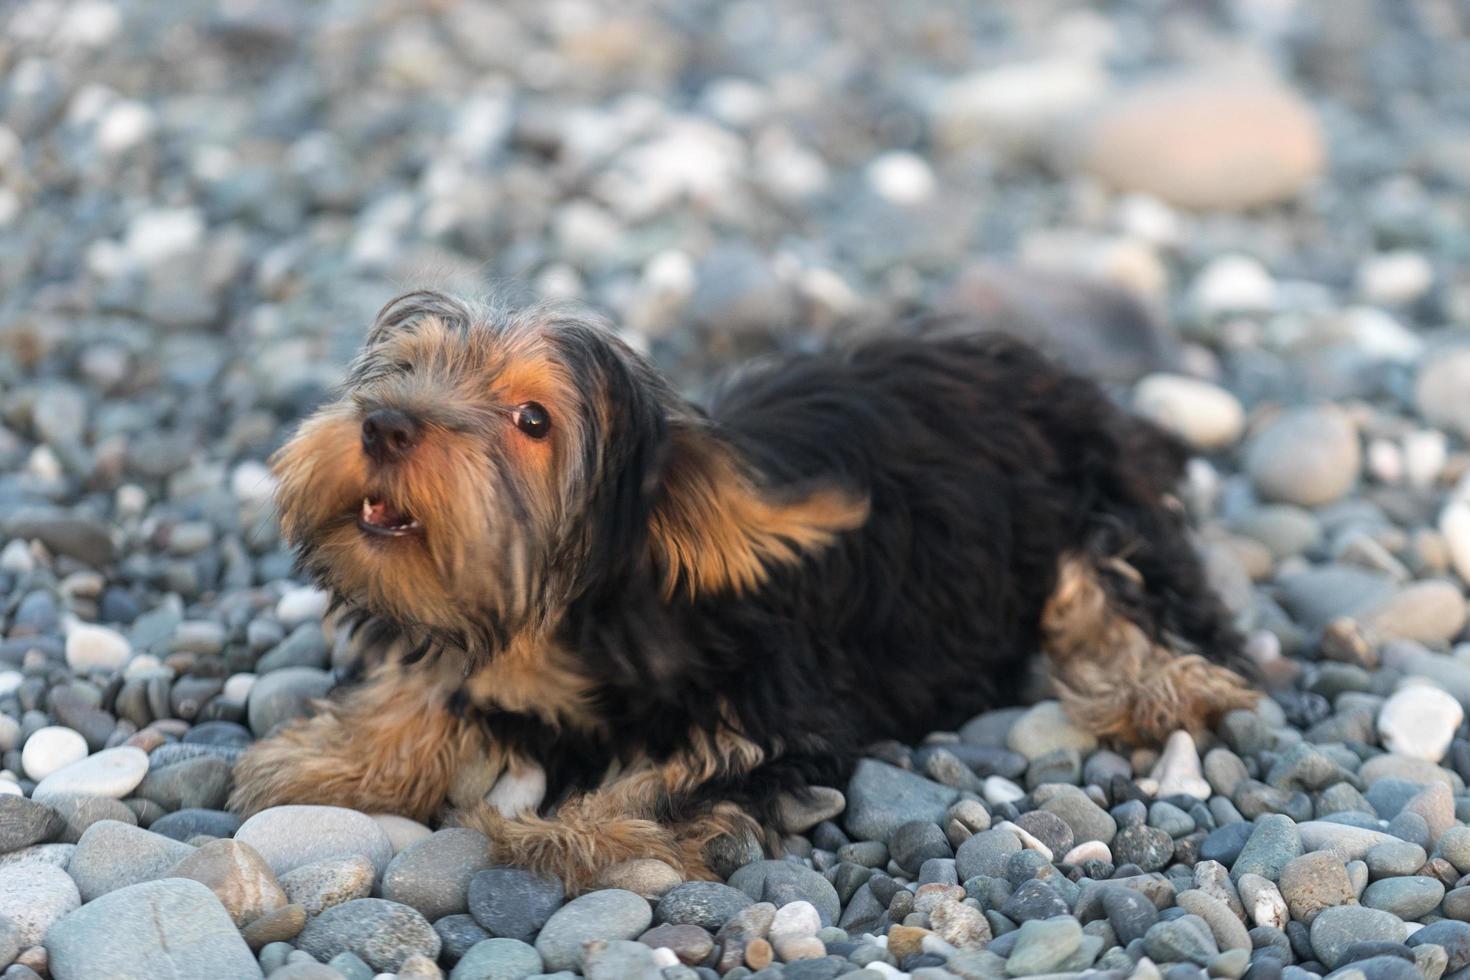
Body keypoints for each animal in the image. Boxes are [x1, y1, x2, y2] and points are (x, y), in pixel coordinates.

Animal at [226, 289, 1252, 887]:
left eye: (532, 420)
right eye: (405, 370)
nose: (386, 423)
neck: (564, 628)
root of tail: (1056, 372)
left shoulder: (775, 710)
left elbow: (683, 773)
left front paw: (573, 831)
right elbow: (430, 684)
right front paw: (339, 754)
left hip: (1088, 502)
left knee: (1125, 591)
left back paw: (1157, 684)